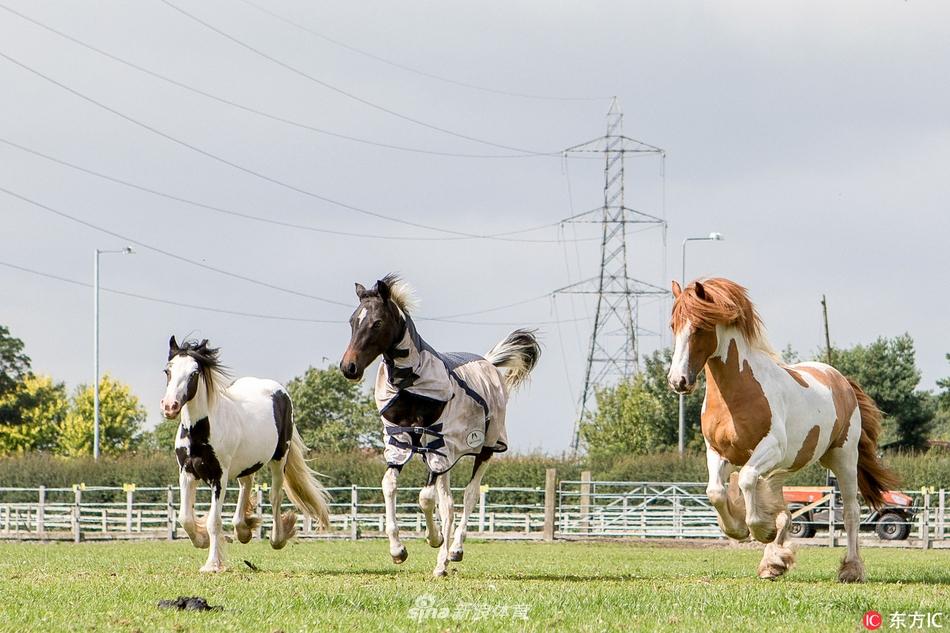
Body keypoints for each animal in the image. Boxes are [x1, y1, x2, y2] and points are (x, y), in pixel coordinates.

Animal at [161, 338, 330, 572]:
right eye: (167, 370)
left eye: (194, 373)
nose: (170, 406)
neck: (200, 431)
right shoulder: (186, 473)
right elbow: (185, 518)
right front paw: (202, 540)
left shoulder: (219, 477)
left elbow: (214, 521)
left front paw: (213, 564)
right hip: (247, 464)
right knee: (246, 485)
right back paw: (243, 530)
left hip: (279, 459)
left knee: (275, 496)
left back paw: (277, 538)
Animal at [342, 274, 540, 576]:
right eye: (353, 321)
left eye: (377, 322)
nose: (348, 367)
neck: (411, 385)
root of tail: (488, 362)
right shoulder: (401, 442)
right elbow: (390, 485)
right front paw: (398, 550)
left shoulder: (436, 443)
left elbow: (426, 497)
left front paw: (432, 538)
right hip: (448, 456)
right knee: (448, 505)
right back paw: (441, 565)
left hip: (484, 448)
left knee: (469, 495)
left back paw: (454, 549)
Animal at [668, 278, 900, 580]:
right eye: (673, 326)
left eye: (699, 327)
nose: (678, 380)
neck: (738, 392)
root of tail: (841, 380)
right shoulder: (719, 453)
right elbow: (716, 491)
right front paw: (740, 529)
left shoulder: (771, 449)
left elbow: (746, 480)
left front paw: (761, 529)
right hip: (788, 464)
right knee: (781, 502)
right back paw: (773, 562)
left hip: (844, 457)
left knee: (850, 511)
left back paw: (850, 569)